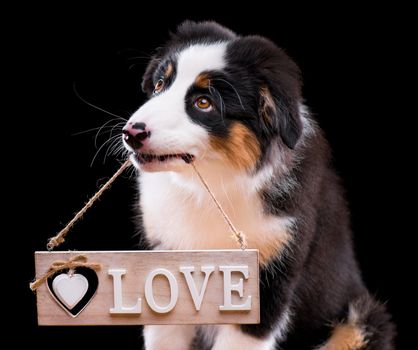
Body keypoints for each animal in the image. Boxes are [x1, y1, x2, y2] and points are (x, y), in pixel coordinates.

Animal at [121, 20, 396, 348]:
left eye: (204, 103)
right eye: (160, 85)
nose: (131, 132)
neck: (209, 186)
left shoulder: (270, 277)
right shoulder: (163, 261)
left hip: (360, 320)